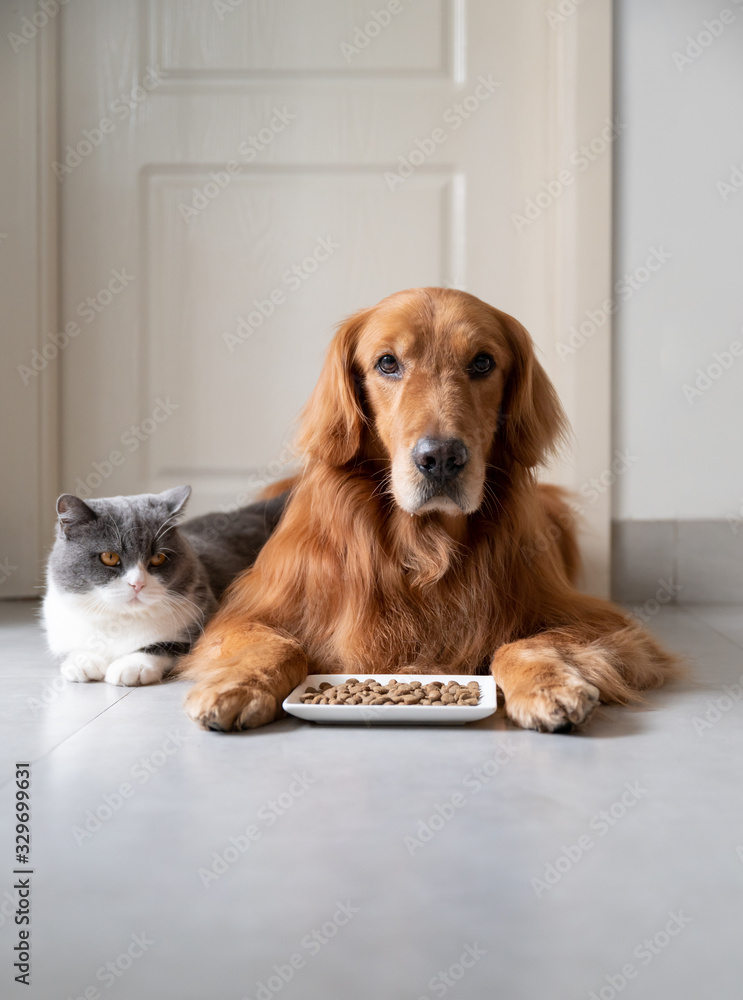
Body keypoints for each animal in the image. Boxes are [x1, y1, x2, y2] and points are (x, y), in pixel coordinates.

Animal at [41, 484, 284, 688]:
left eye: (158, 558)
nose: (137, 583)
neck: (123, 620)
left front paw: (131, 665)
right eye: (109, 557)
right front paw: (83, 661)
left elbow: (164, 644)